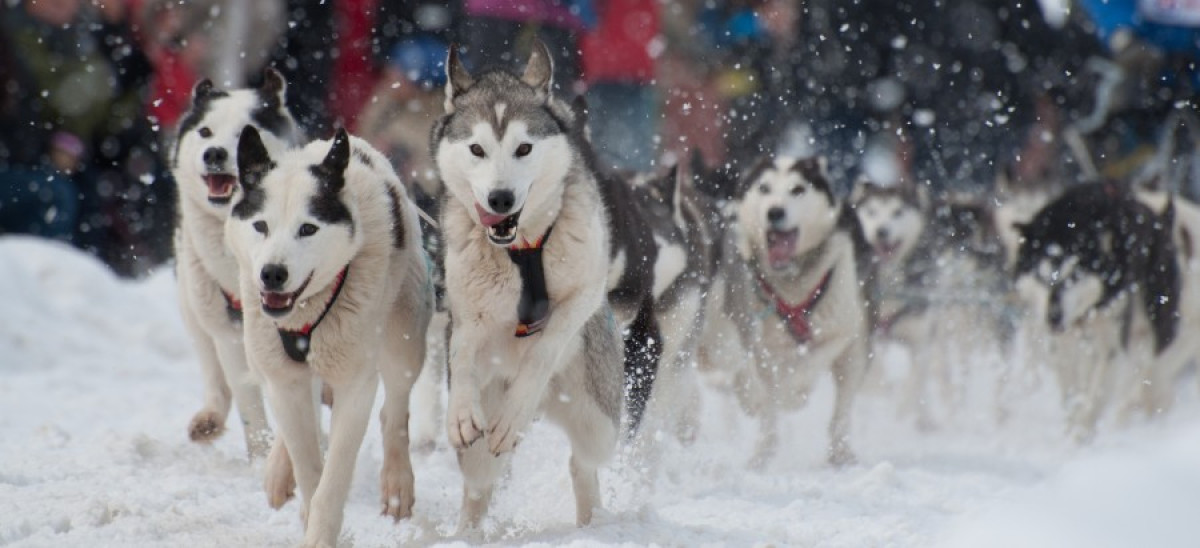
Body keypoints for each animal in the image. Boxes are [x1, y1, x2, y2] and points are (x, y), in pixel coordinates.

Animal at [225, 127, 432, 542]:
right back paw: (279, 470)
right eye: (260, 225)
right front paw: (306, 507)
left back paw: (397, 482)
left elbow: (331, 479)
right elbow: (309, 468)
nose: (272, 273)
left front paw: (321, 534)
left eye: (308, 228)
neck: (305, 315)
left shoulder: (355, 385)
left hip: (403, 340)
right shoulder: (284, 379)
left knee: (394, 410)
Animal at [432, 43, 624, 530]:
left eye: (524, 148)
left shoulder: (582, 292)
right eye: (477, 149)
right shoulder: (467, 311)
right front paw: (460, 411)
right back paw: (467, 533)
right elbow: (461, 353)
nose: (500, 198)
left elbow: (543, 350)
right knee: (479, 482)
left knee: (583, 462)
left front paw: (514, 411)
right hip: (484, 447)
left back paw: (592, 520)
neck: (522, 249)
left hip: (598, 419)